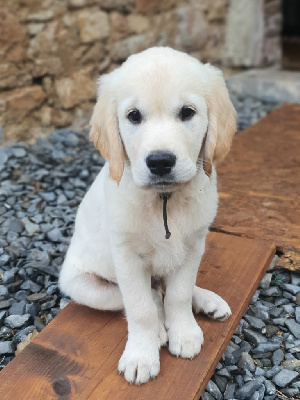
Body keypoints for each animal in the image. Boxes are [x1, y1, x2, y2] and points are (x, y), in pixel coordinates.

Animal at [58, 46, 237, 384]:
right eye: (134, 116)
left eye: (187, 112)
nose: (160, 161)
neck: (164, 200)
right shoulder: (127, 257)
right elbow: (140, 308)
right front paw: (142, 355)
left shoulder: (193, 246)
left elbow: (179, 294)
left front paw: (184, 333)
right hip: (85, 287)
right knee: (148, 296)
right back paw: (158, 331)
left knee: (164, 289)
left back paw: (207, 301)